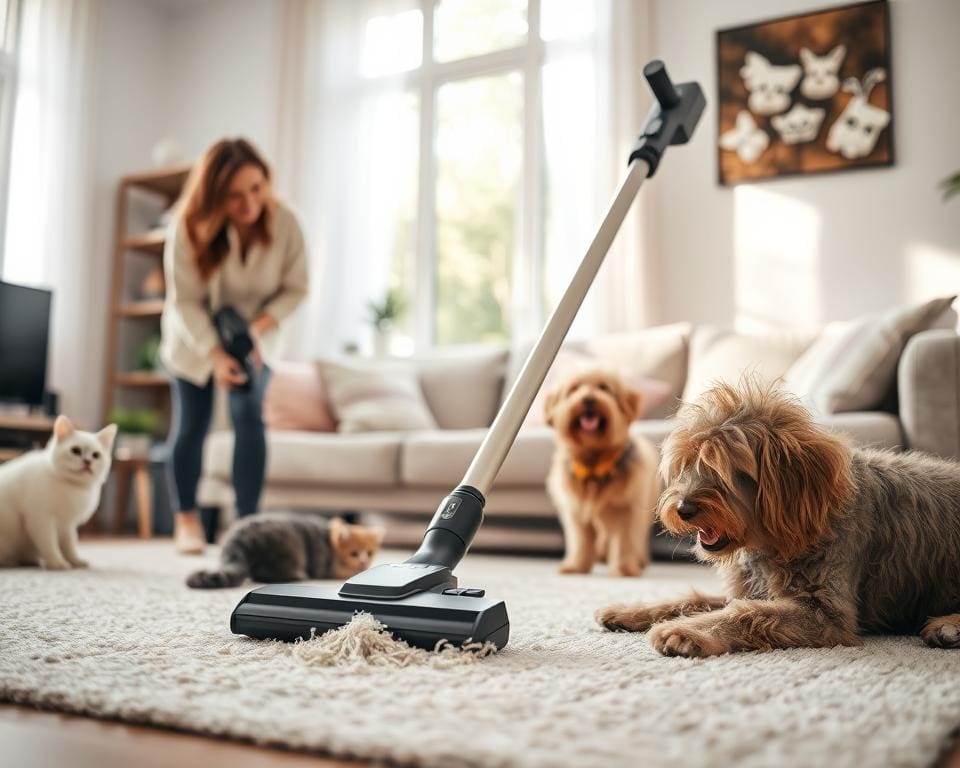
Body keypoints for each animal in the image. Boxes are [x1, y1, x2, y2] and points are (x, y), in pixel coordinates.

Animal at [0, 416, 117, 568]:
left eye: (96, 455)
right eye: (76, 450)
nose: (87, 461)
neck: (71, 487)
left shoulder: (68, 525)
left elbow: (70, 545)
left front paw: (75, 561)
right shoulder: (41, 519)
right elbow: (49, 544)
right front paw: (57, 562)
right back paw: (11, 561)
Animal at [548, 368, 660, 576]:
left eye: (604, 388)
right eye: (574, 388)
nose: (589, 399)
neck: (594, 463)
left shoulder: (627, 508)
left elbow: (625, 540)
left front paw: (624, 568)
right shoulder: (576, 511)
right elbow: (581, 541)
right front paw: (576, 566)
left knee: (638, 537)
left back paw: (639, 561)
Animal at [596, 380, 960, 656]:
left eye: (727, 470)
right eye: (687, 463)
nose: (682, 509)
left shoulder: (825, 613)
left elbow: (748, 614)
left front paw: (685, 633)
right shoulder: (746, 591)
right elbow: (691, 600)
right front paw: (629, 611)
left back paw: (946, 627)